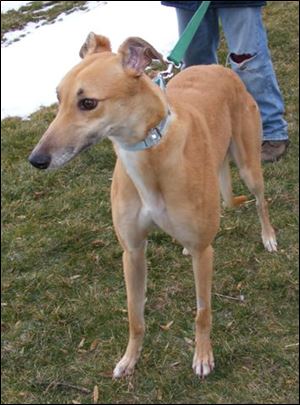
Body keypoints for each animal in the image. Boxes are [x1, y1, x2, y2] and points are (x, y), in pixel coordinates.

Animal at [29, 33, 278, 378]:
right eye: (58, 98)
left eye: (88, 103)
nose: (36, 160)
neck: (149, 153)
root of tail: (218, 68)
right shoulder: (132, 251)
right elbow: (135, 317)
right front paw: (129, 360)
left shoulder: (204, 251)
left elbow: (202, 312)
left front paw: (203, 356)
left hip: (248, 164)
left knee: (260, 201)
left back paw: (268, 237)